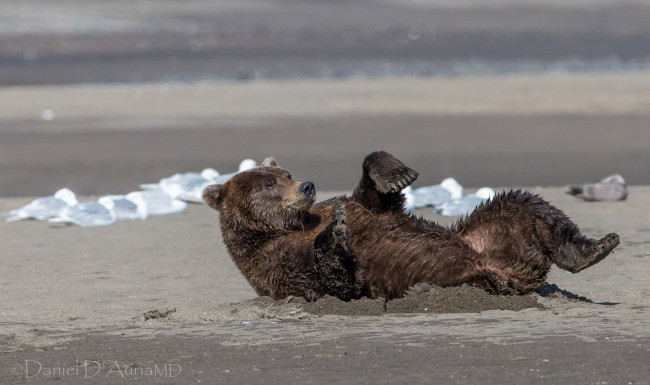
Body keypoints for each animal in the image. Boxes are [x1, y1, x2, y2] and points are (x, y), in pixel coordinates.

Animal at [204, 152, 616, 302]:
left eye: (285, 173)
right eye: (267, 184)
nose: (306, 185)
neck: (288, 227)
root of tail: (514, 269)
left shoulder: (363, 208)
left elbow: (376, 196)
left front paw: (396, 174)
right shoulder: (276, 263)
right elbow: (333, 281)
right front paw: (335, 230)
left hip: (487, 233)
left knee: (523, 204)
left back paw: (595, 247)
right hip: (479, 271)